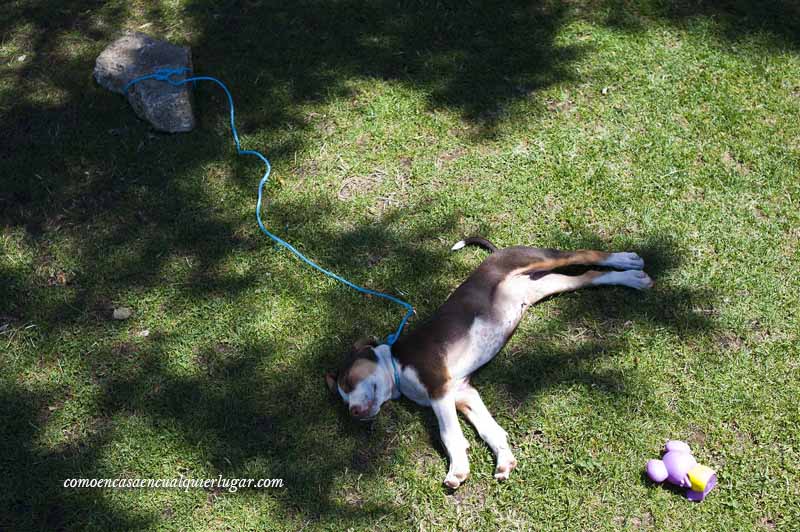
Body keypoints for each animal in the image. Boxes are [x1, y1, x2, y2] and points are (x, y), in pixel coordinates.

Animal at [324, 239, 648, 488]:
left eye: (348, 382)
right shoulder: (463, 393)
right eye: (341, 399)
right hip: (545, 285)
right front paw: (504, 461)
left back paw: (628, 260)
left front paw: (457, 470)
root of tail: (497, 252)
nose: (353, 413)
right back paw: (632, 279)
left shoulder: (439, 389)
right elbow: (490, 430)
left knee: (585, 254)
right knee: (589, 275)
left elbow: (449, 435)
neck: (396, 364)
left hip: (535, 258)